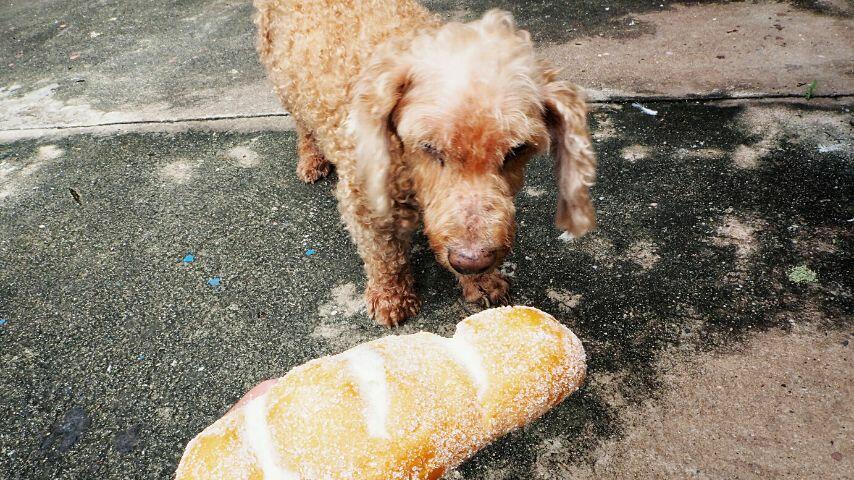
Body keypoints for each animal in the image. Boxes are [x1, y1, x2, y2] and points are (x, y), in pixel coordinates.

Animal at [258, 0, 600, 326]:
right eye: (429, 147)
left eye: (517, 150)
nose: (471, 261)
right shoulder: (364, 197)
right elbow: (383, 253)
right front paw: (391, 297)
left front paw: (482, 282)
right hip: (282, 78)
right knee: (302, 122)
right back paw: (311, 159)